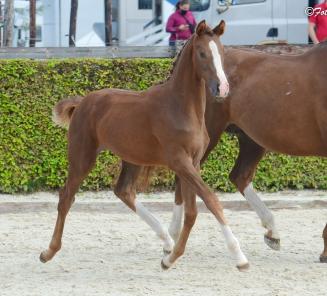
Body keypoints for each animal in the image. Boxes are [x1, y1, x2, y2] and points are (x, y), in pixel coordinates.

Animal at [39, 20, 250, 270]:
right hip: (82, 157)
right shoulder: (180, 162)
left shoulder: (193, 163)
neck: (181, 108)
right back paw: (48, 251)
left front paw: (170, 259)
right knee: (66, 197)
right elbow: (211, 200)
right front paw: (240, 257)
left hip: (133, 158)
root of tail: (82, 102)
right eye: (202, 53)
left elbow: (192, 212)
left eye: (222, 52)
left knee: (124, 191)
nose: (222, 88)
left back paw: (167, 241)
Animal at [119, 42, 327, 264]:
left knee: (239, 176)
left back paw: (272, 232)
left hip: (251, 138)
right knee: (184, 179)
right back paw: (173, 237)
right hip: (208, 136)